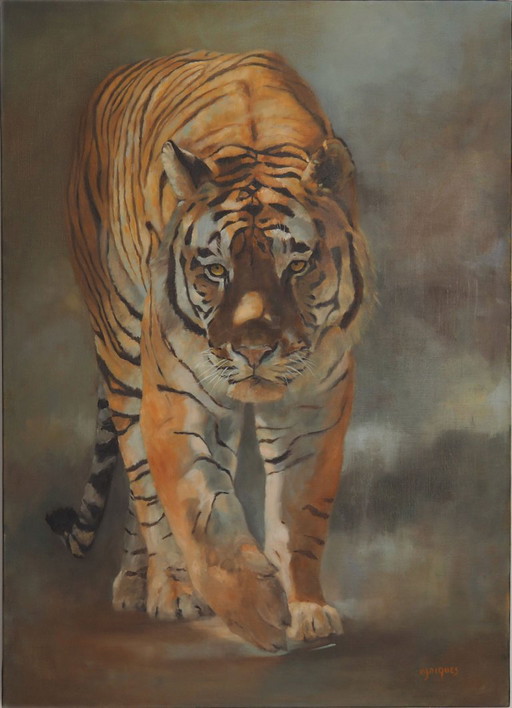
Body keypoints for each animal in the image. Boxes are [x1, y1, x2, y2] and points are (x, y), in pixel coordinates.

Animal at [46, 49, 374, 652]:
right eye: (216, 270)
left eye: (297, 265)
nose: (253, 349)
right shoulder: (177, 396)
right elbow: (200, 508)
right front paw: (257, 611)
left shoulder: (315, 402)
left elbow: (298, 514)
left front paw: (307, 608)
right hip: (122, 353)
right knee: (143, 485)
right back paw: (163, 589)